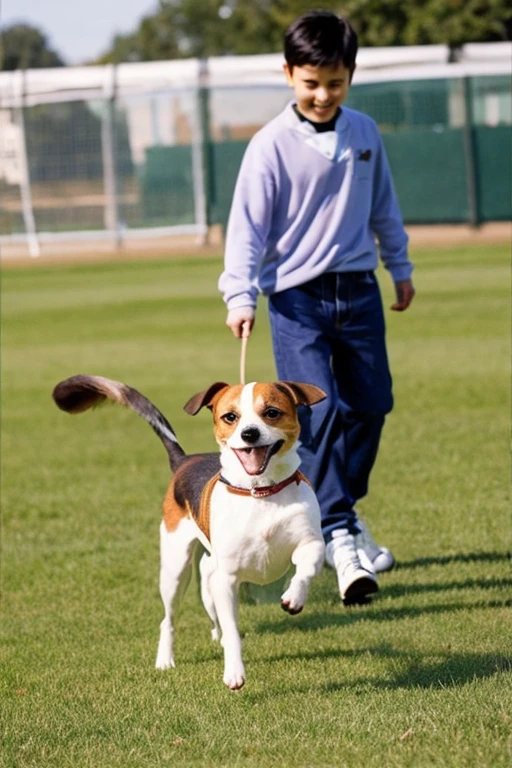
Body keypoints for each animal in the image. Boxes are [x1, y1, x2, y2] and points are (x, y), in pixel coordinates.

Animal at [54, 376, 326, 688]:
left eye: (271, 412)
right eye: (230, 417)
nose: (249, 434)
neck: (261, 492)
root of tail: (183, 461)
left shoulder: (310, 542)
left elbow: (305, 568)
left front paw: (294, 597)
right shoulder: (226, 578)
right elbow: (233, 630)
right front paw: (234, 671)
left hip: (205, 570)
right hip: (175, 568)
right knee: (169, 618)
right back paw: (165, 660)